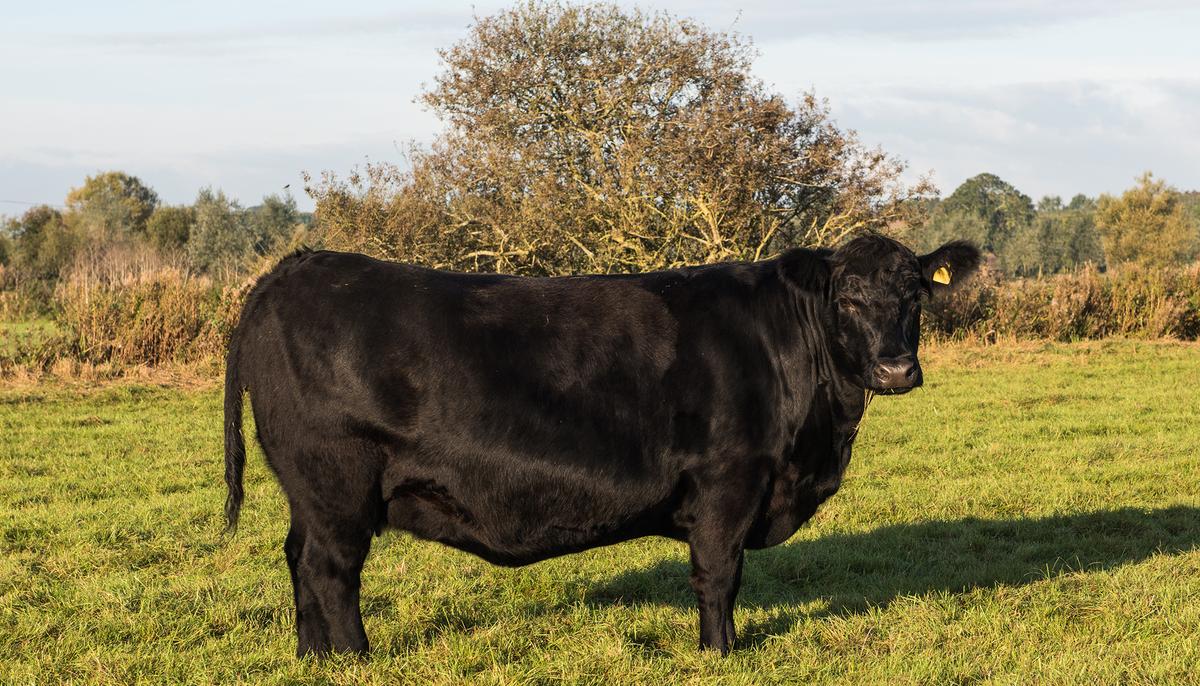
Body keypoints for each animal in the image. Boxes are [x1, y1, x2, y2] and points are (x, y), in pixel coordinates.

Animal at [222, 234, 980, 657]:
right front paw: (721, 654)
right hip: (337, 482)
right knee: (331, 572)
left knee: (298, 561)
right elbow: (718, 575)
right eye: (845, 298)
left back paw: (313, 657)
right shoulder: (729, 480)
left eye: (916, 293)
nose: (896, 369)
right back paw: (355, 659)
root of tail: (292, 268)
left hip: (308, 492)